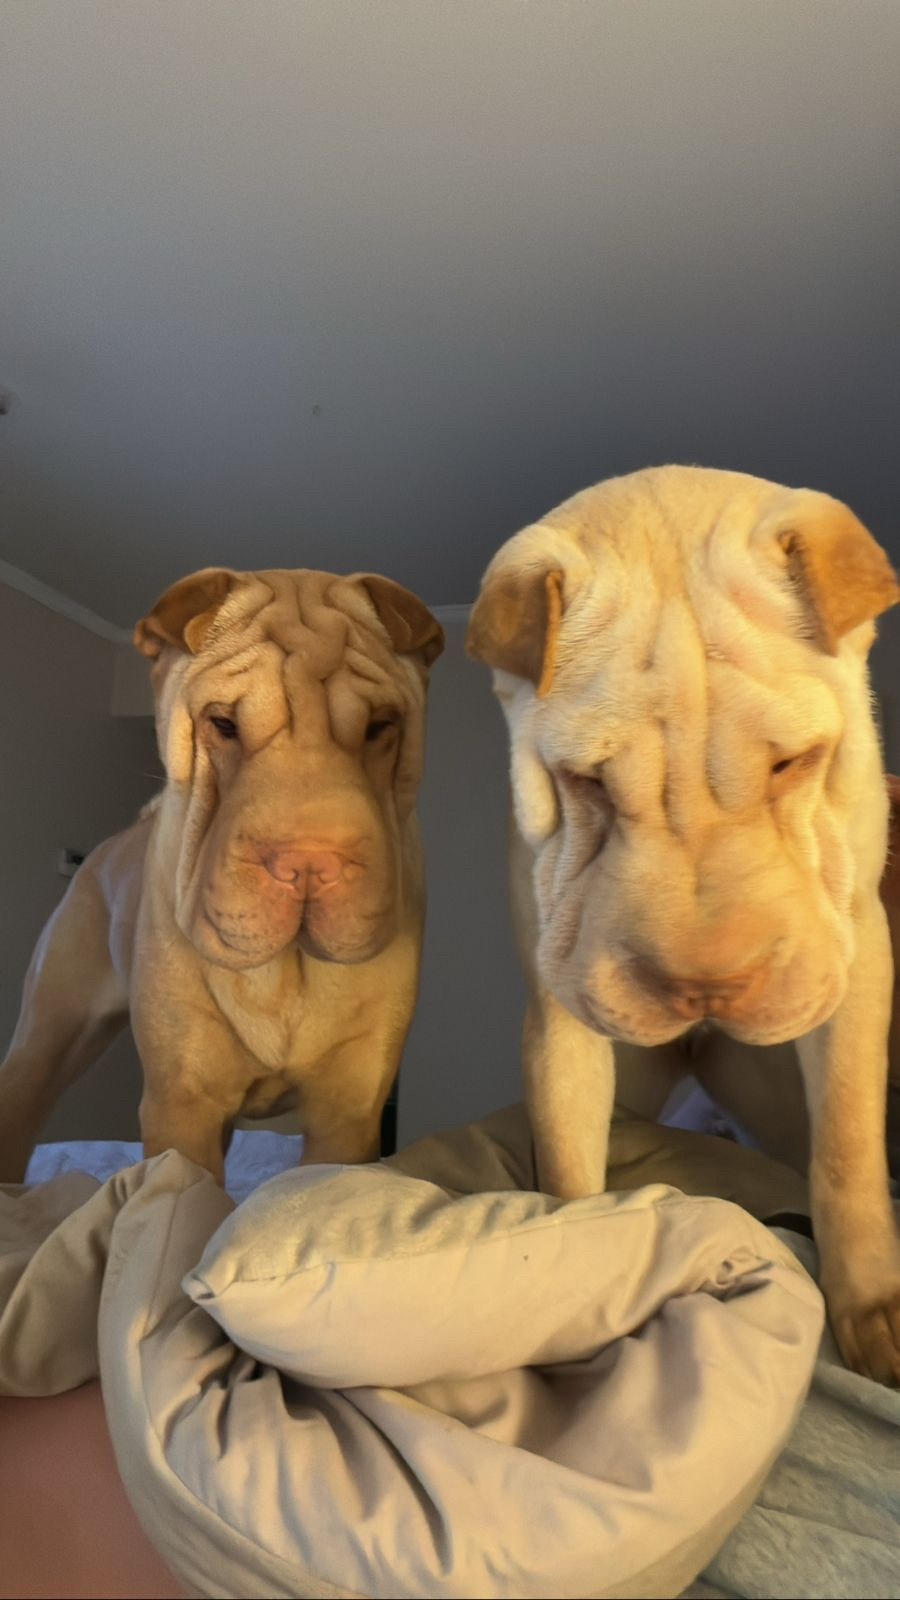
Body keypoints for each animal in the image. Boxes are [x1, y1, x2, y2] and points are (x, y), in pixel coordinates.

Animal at [0, 566, 443, 1183]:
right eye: (223, 725)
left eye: (381, 726)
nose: (310, 861)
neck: (284, 973)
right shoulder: (183, 1105)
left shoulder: (348, 1114)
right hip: (47, 1036)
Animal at [467, 464, 900, 1382]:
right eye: (587, 783)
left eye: (793, 764)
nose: (707, 987)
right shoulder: (562, 1010)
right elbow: (569, 1174)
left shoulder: (858, 963)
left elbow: (847, 1147)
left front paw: (875, 1314)